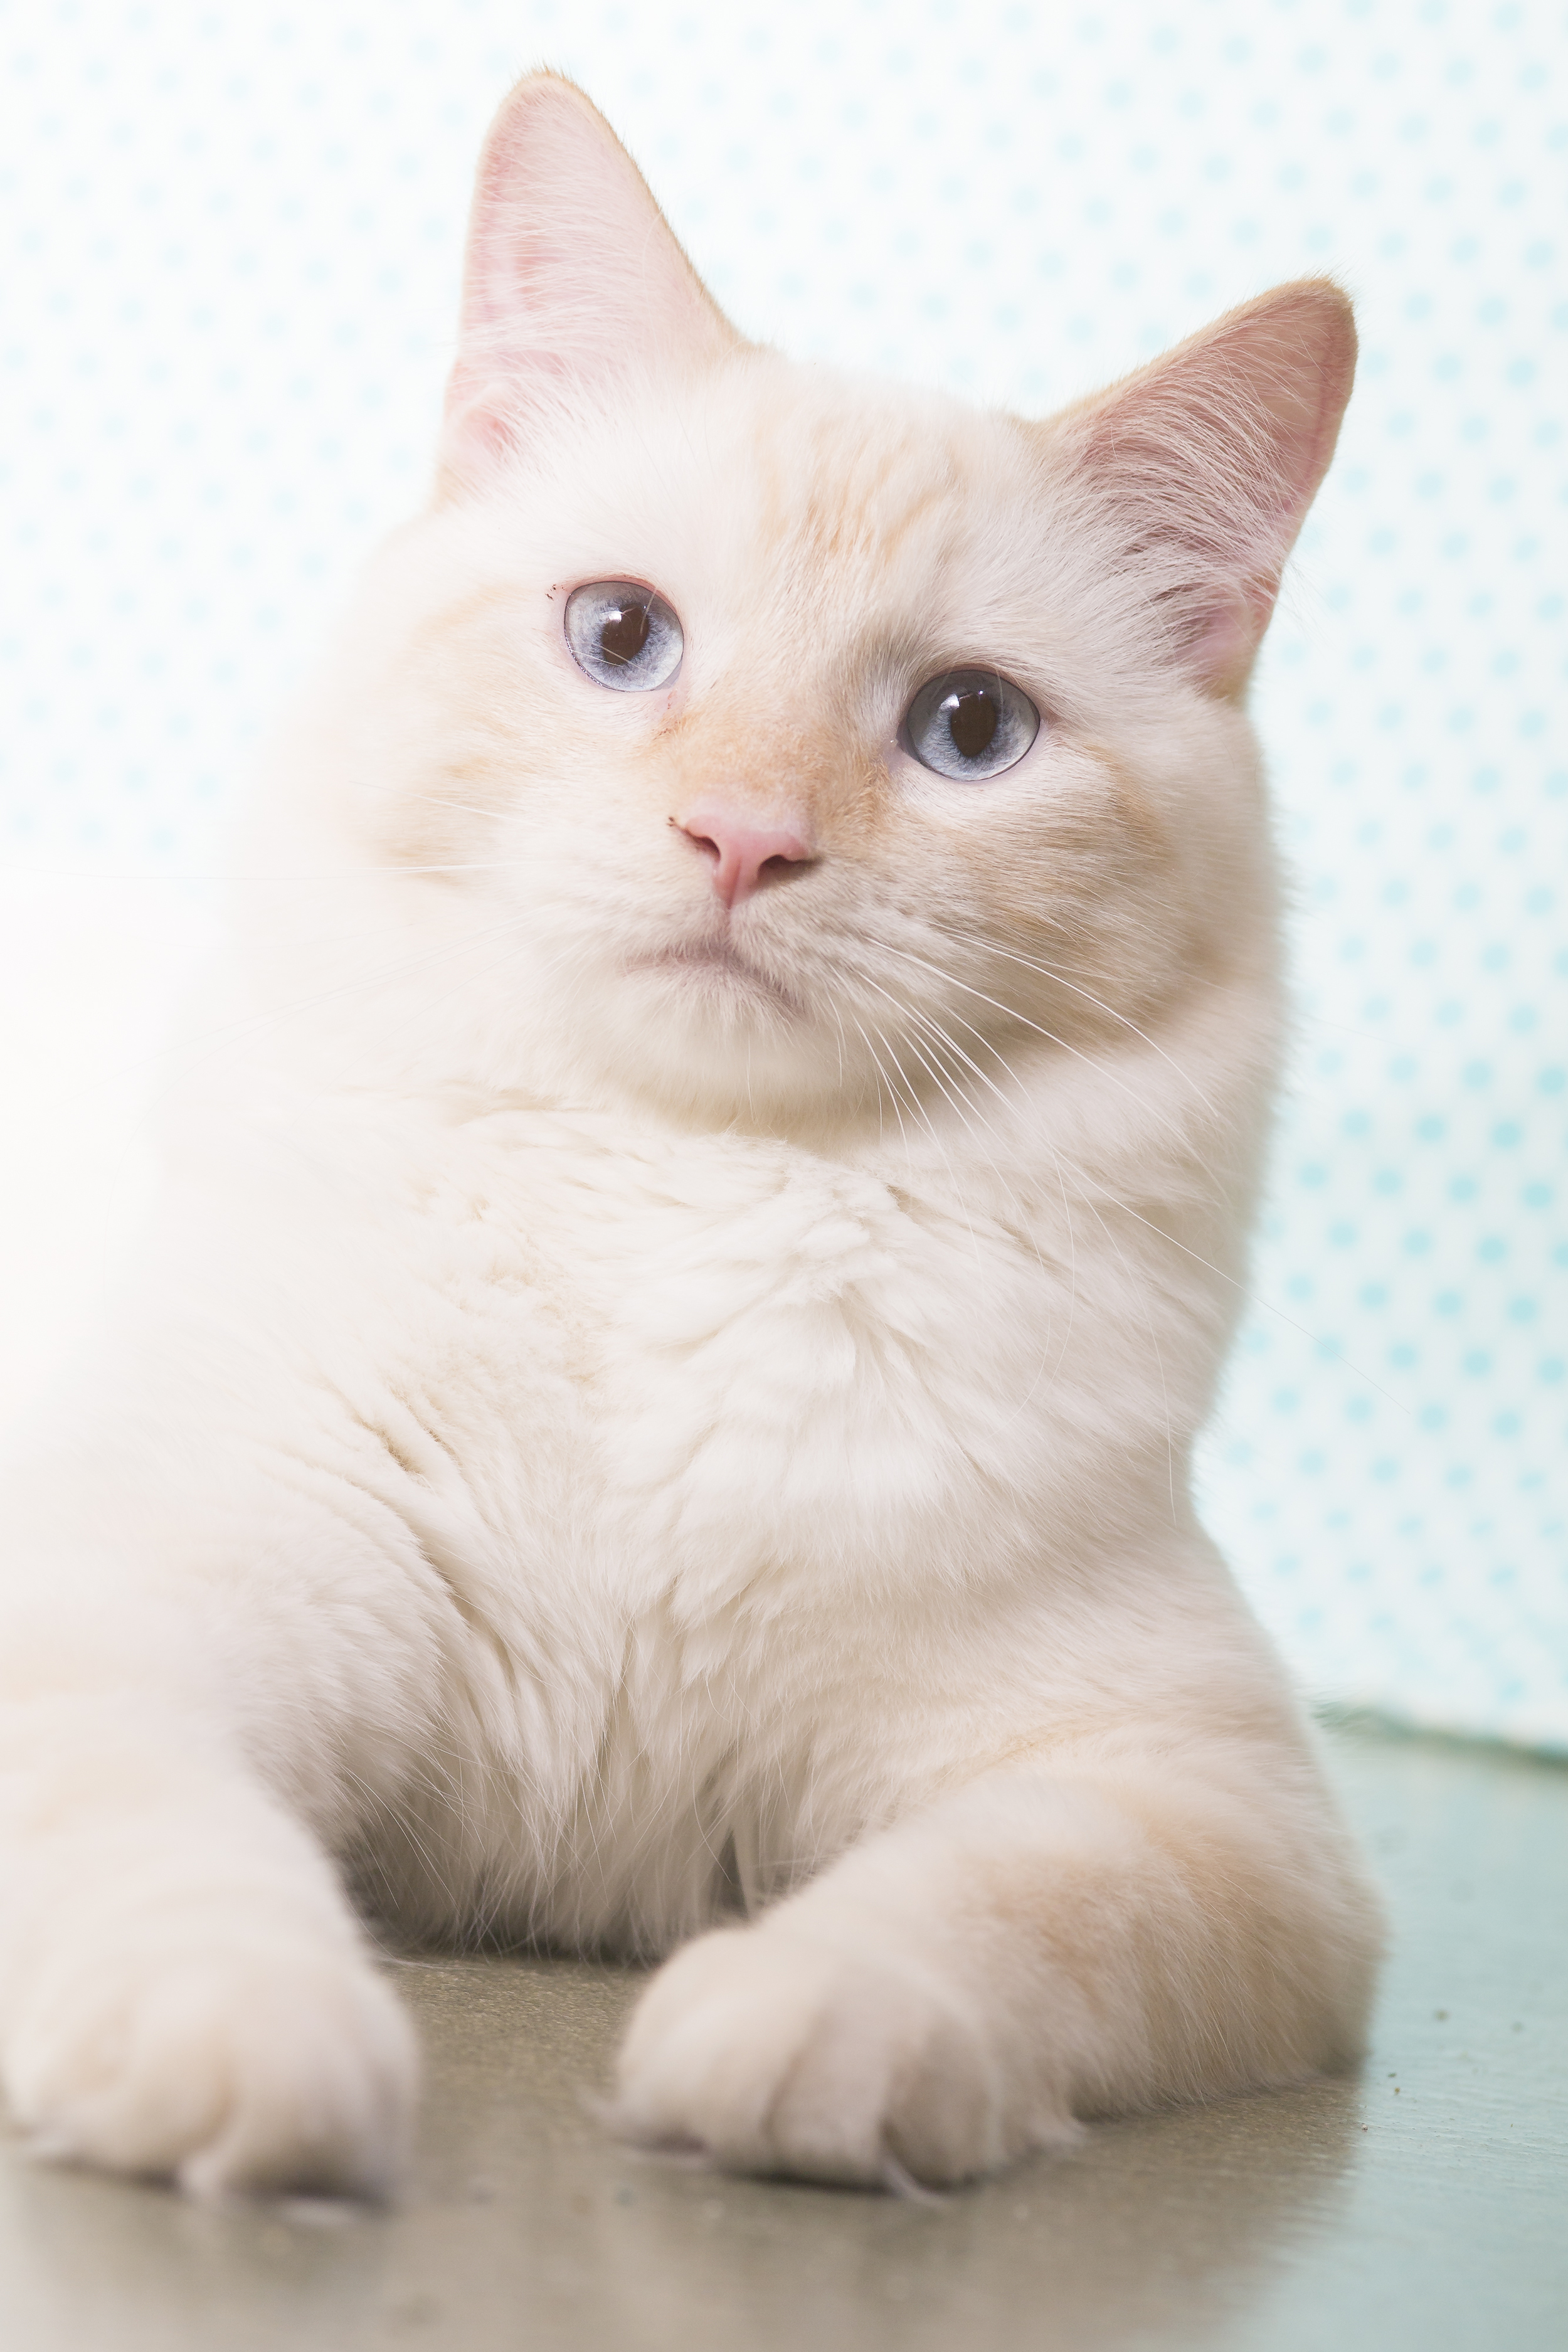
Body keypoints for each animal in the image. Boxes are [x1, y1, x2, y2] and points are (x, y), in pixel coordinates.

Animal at [0, 78, 1382, 2201]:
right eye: (619, 637)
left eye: (966, 731)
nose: (741, 839)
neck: (683, 1196)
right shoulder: (125, 1620)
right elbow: (181, 1871)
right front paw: (245, 2073)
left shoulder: (1189, 1800)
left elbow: (973, 1918)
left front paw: (783, 2056)